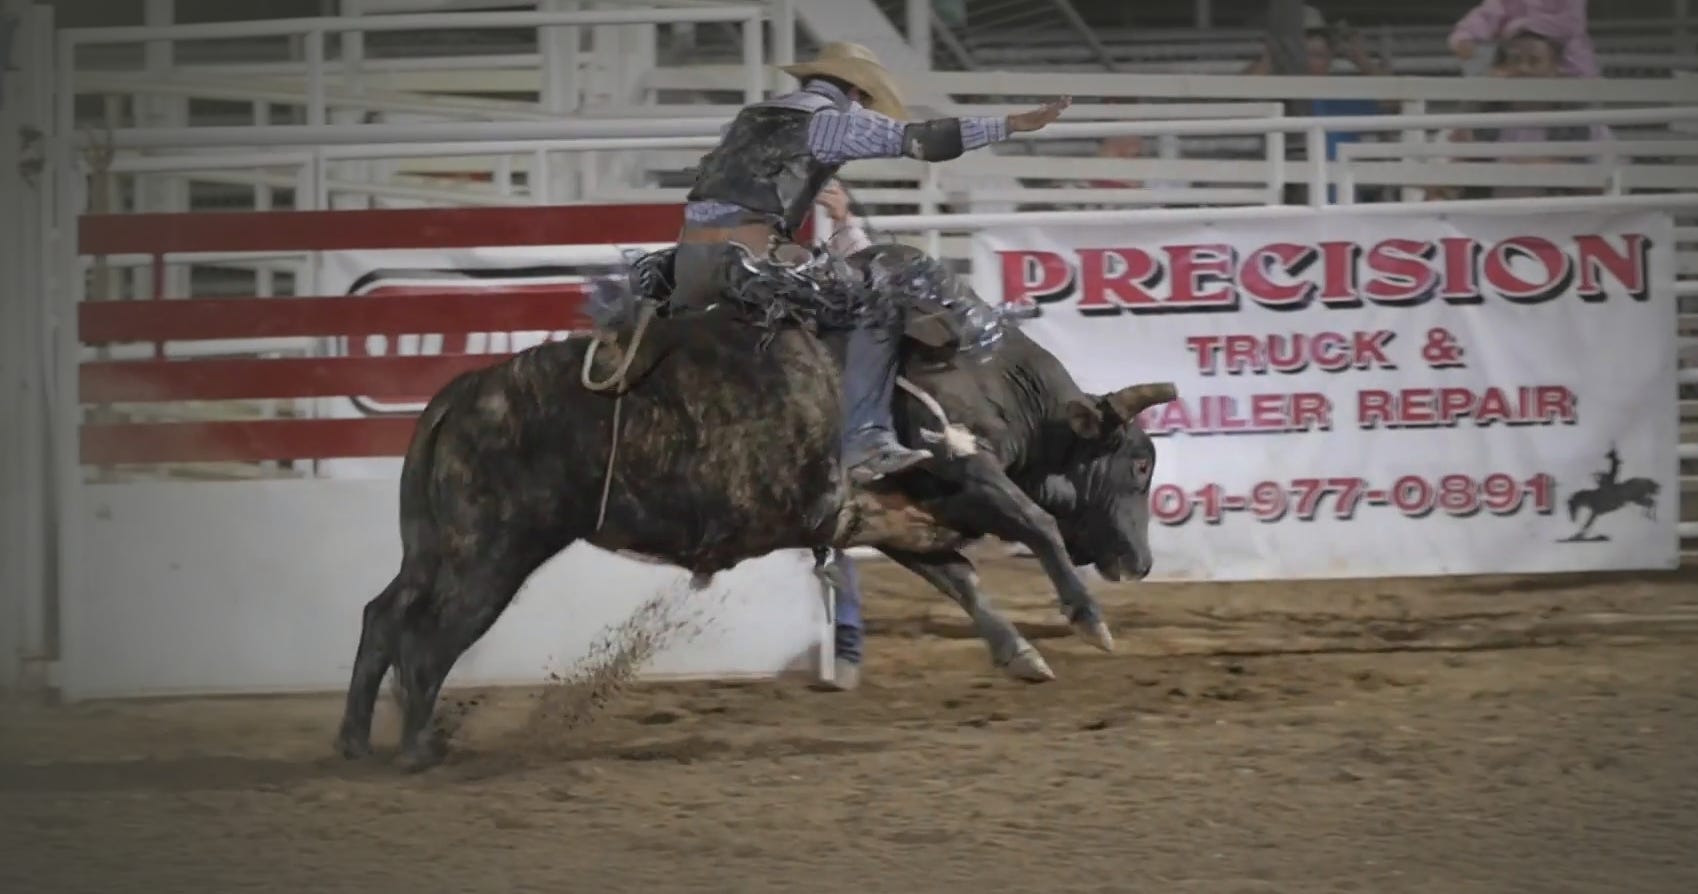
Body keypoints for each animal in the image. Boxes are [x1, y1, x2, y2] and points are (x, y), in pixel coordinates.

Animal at [333, 242, 1177, 770]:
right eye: (1138, 463)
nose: (1141, 562)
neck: (989, 375)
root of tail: (463, 393)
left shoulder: (891, 516)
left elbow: (960, 576)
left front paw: (1021, 653)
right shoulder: (962, 467)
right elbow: (1035, 523)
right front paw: (1087, 620)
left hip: (438, 545)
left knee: (383, 615)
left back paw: (354, 742)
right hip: (490, 552)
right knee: (427, 641)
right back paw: (419, 747)